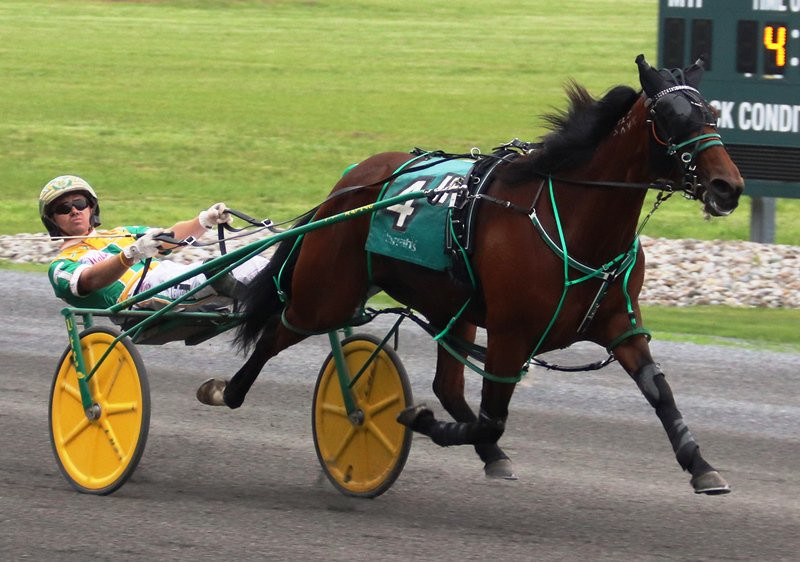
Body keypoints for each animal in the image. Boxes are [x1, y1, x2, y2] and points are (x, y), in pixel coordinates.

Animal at [197, 54, 743, 494]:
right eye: (669, 118)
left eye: (712, 114)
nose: (728, 186)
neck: (574, 221)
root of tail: (347, 186)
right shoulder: (510, 334)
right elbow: (492, 419)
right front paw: (419, 419)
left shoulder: (618, 324)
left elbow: (659, 391)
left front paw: (702, 467)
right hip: (327, 295)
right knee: (277, 330)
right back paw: (227, 390)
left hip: (448, 307)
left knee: (447, 385)